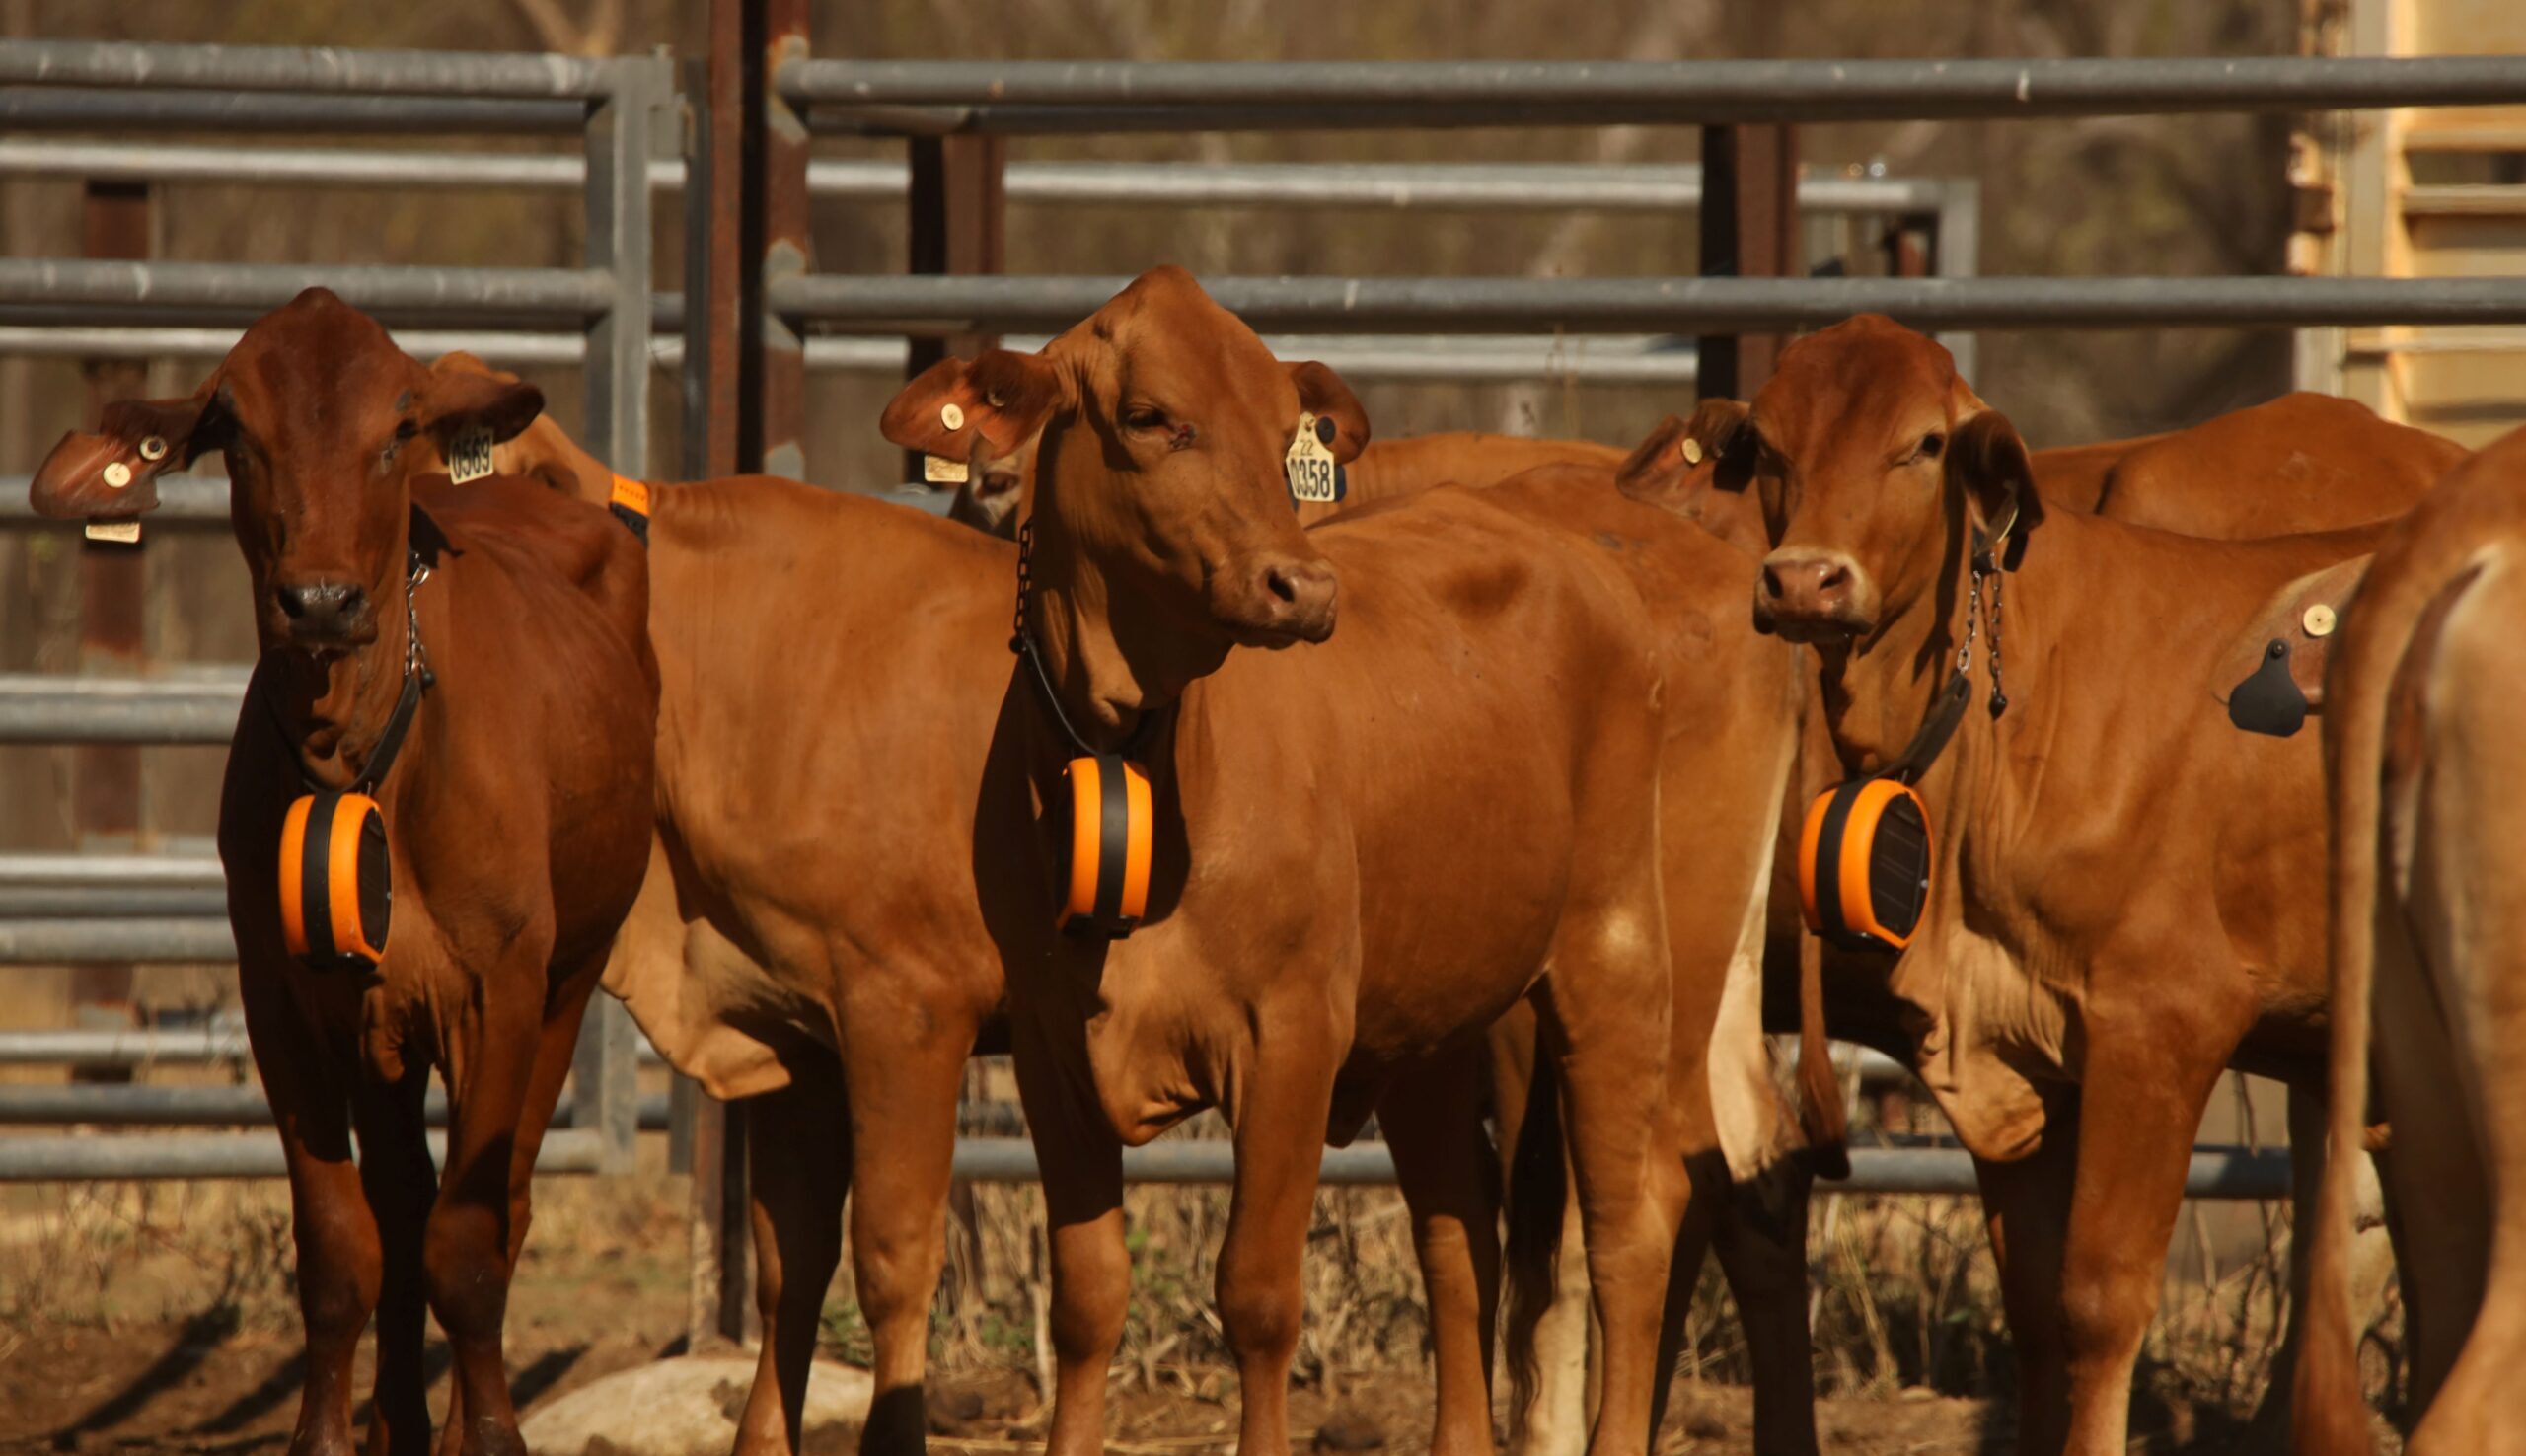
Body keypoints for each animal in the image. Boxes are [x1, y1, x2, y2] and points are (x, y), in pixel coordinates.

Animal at [26, 290, 658, 1456]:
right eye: (239, 436)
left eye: (394, 431)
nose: (318, 601)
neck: (362, 756)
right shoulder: (285, 1001)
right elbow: (338, 1245)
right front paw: (328, 1434)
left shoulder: (502, 990)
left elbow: (469, 1243)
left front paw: (490, 1435)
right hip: (381, 1027)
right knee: (403, 1203)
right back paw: (399, 1419)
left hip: (571, 977)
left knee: (500, 1200)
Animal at [876, 266, 1750, 1456]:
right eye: (1148, 416)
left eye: (1280, 427)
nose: (1303, 587)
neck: (1140, 754)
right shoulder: (1051, 1045)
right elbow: (1089, 1298)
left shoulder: (1290, 1035)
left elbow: (1255, 1298)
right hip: (1433, 1022)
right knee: (1459, 1241)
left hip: (1615, 958)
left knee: (1627, 1231)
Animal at [1659, 313, 2397, 1456]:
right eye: (1771, 445)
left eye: (1922, 444)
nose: (1803, 582)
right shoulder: (2017, 1047)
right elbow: (2036, 1312)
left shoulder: (2162, 1027)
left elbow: (2097, 1301)